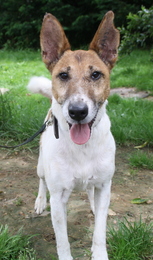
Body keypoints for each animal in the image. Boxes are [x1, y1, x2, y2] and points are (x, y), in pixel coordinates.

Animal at [28, 11, 120, 260]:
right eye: (63, 75)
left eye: (96, 74)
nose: (78, 112)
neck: (82, 147)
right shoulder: (59, 197)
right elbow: (62, 241)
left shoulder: (105, 185)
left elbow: (99, 230)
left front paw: (99, 252)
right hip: (41, 166)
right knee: (41, 181)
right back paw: (40, 201)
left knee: (90, 191)